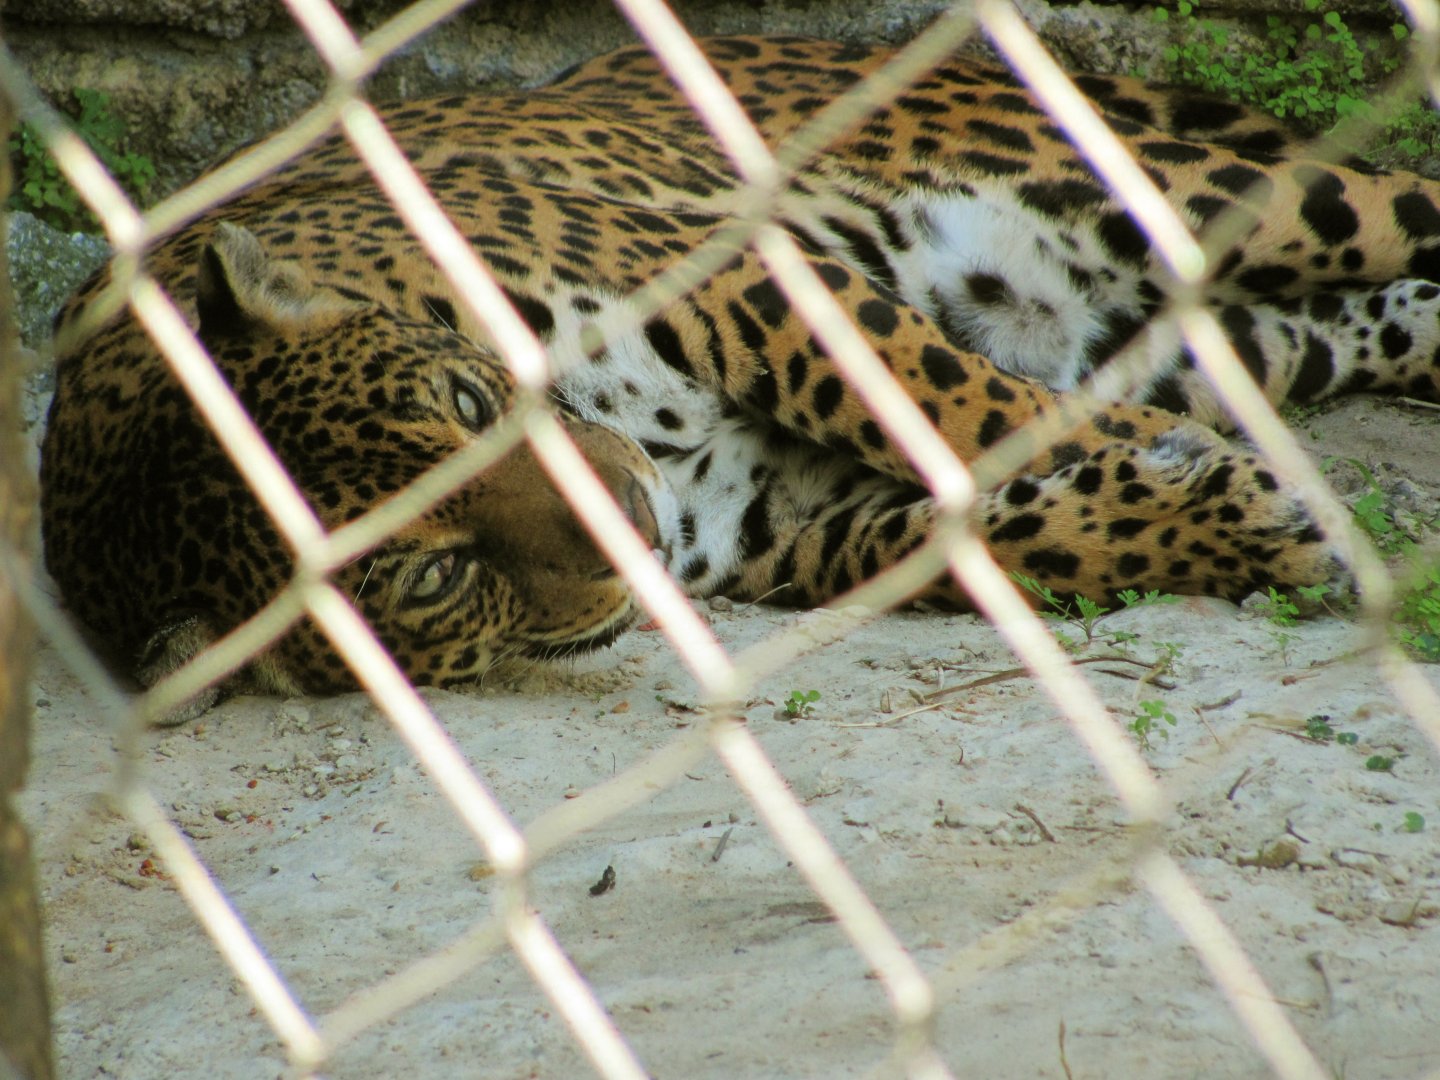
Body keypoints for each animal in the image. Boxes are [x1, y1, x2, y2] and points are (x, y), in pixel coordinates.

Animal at [39, 35, 1440, 716]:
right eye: (431, 578)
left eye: (468, 403)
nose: (629, 514)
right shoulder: (786, 527)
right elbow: (995, 530)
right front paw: (1233, 519)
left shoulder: (731, 277)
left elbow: (953, 403)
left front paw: (1232, 496)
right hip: (1221, 331)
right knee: (1382, 316)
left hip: (1204, 196)